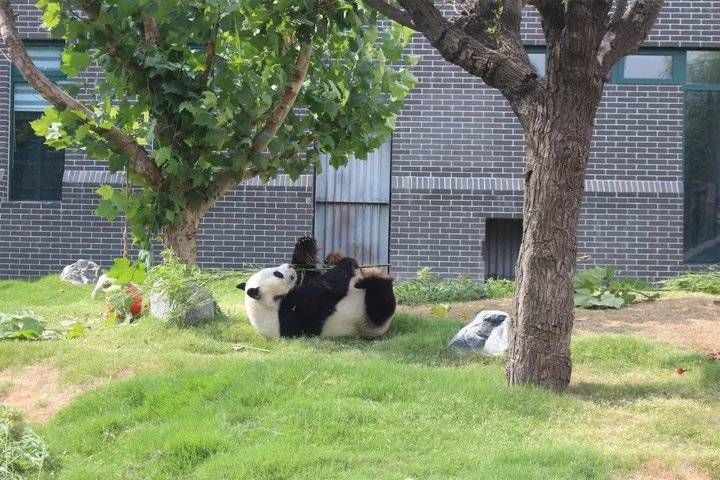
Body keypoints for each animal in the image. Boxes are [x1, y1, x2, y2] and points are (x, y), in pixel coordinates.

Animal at [236, 236, 394, 338]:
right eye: (277, 274)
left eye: (274, 269)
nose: (289, 266)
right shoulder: (291, 312)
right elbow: (325, 289)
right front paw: (347, 263)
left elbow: (309, 275)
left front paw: (303, 247)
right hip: (368, 319)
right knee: (381, 303)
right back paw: (373, 279)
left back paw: (333, 259)